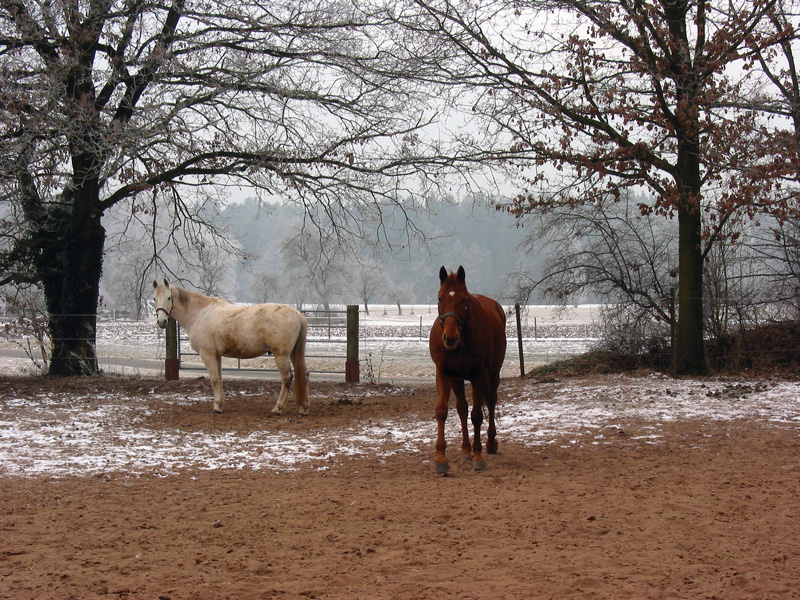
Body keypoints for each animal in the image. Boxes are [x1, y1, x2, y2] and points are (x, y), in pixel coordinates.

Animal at [153, 278, 310, 414]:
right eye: (154, 299)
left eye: (169, 297)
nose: (162, 321)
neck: (200, 313)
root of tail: (297, 314)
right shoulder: (216, 355)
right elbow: (219, 378)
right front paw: (220, 403)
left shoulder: (207, 354)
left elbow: (214, 379)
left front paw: (217, 406)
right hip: (293, 354)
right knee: (305, 374)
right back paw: (303, 408)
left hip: (281, 355)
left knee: (287, 377)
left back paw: (278, 408)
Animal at [432, 266, 506, 474]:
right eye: (440, 298)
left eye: (463, 299)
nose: (450, 337)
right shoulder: (444, 374)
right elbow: (442, 411)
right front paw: (441, 459)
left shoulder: (479, 377)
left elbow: (477, 416)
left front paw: (478, 457)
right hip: (457, 380)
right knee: (462, 409)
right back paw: (465, 450)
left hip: (493, 374)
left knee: (490, 402)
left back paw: (490, 443)